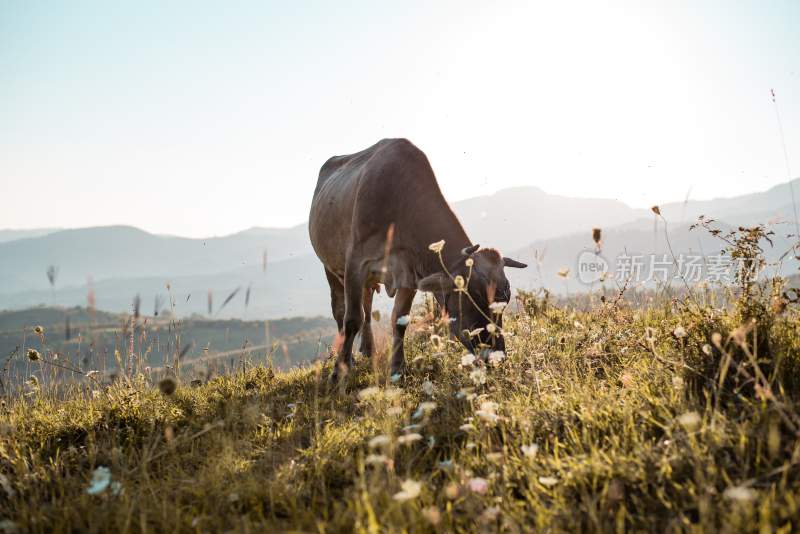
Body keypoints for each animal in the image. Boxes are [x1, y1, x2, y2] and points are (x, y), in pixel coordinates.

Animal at [306, 138, 524, 382]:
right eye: (472, 296)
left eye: (505, 299)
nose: (497, 356)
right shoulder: (356, 263)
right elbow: (352, 319)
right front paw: (339, 372)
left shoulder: (408, 272)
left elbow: (400, 320)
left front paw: (397, 369)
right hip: (331, 268)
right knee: (341, 313)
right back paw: (350, 358)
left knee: (367, 308)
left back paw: (368, 350)